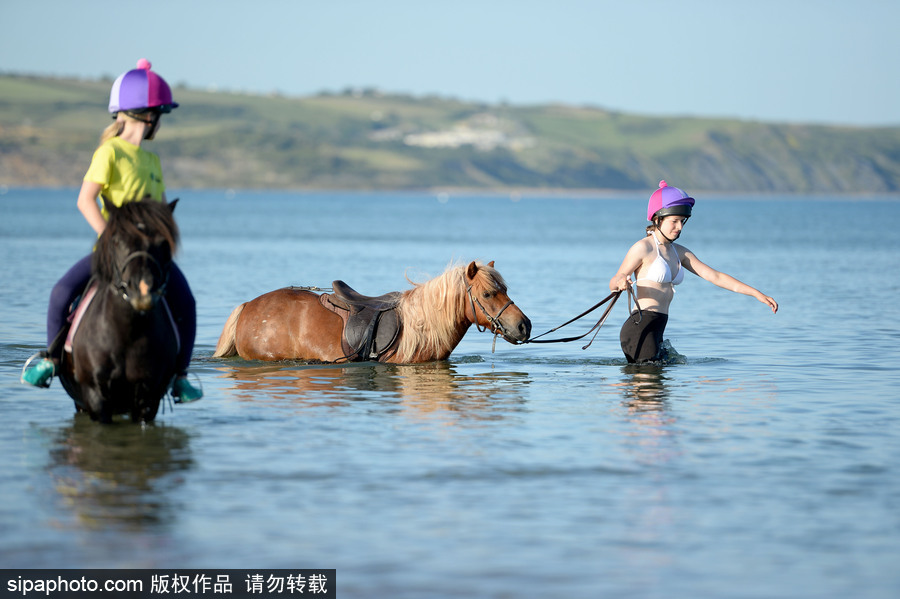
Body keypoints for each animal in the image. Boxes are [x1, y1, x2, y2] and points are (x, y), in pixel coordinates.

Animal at [58, 199, 181, 424]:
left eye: (164, 243)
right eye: (117, 240)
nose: (142, 291)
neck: (128, 332)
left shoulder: (148, 399)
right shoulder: (95, 397)